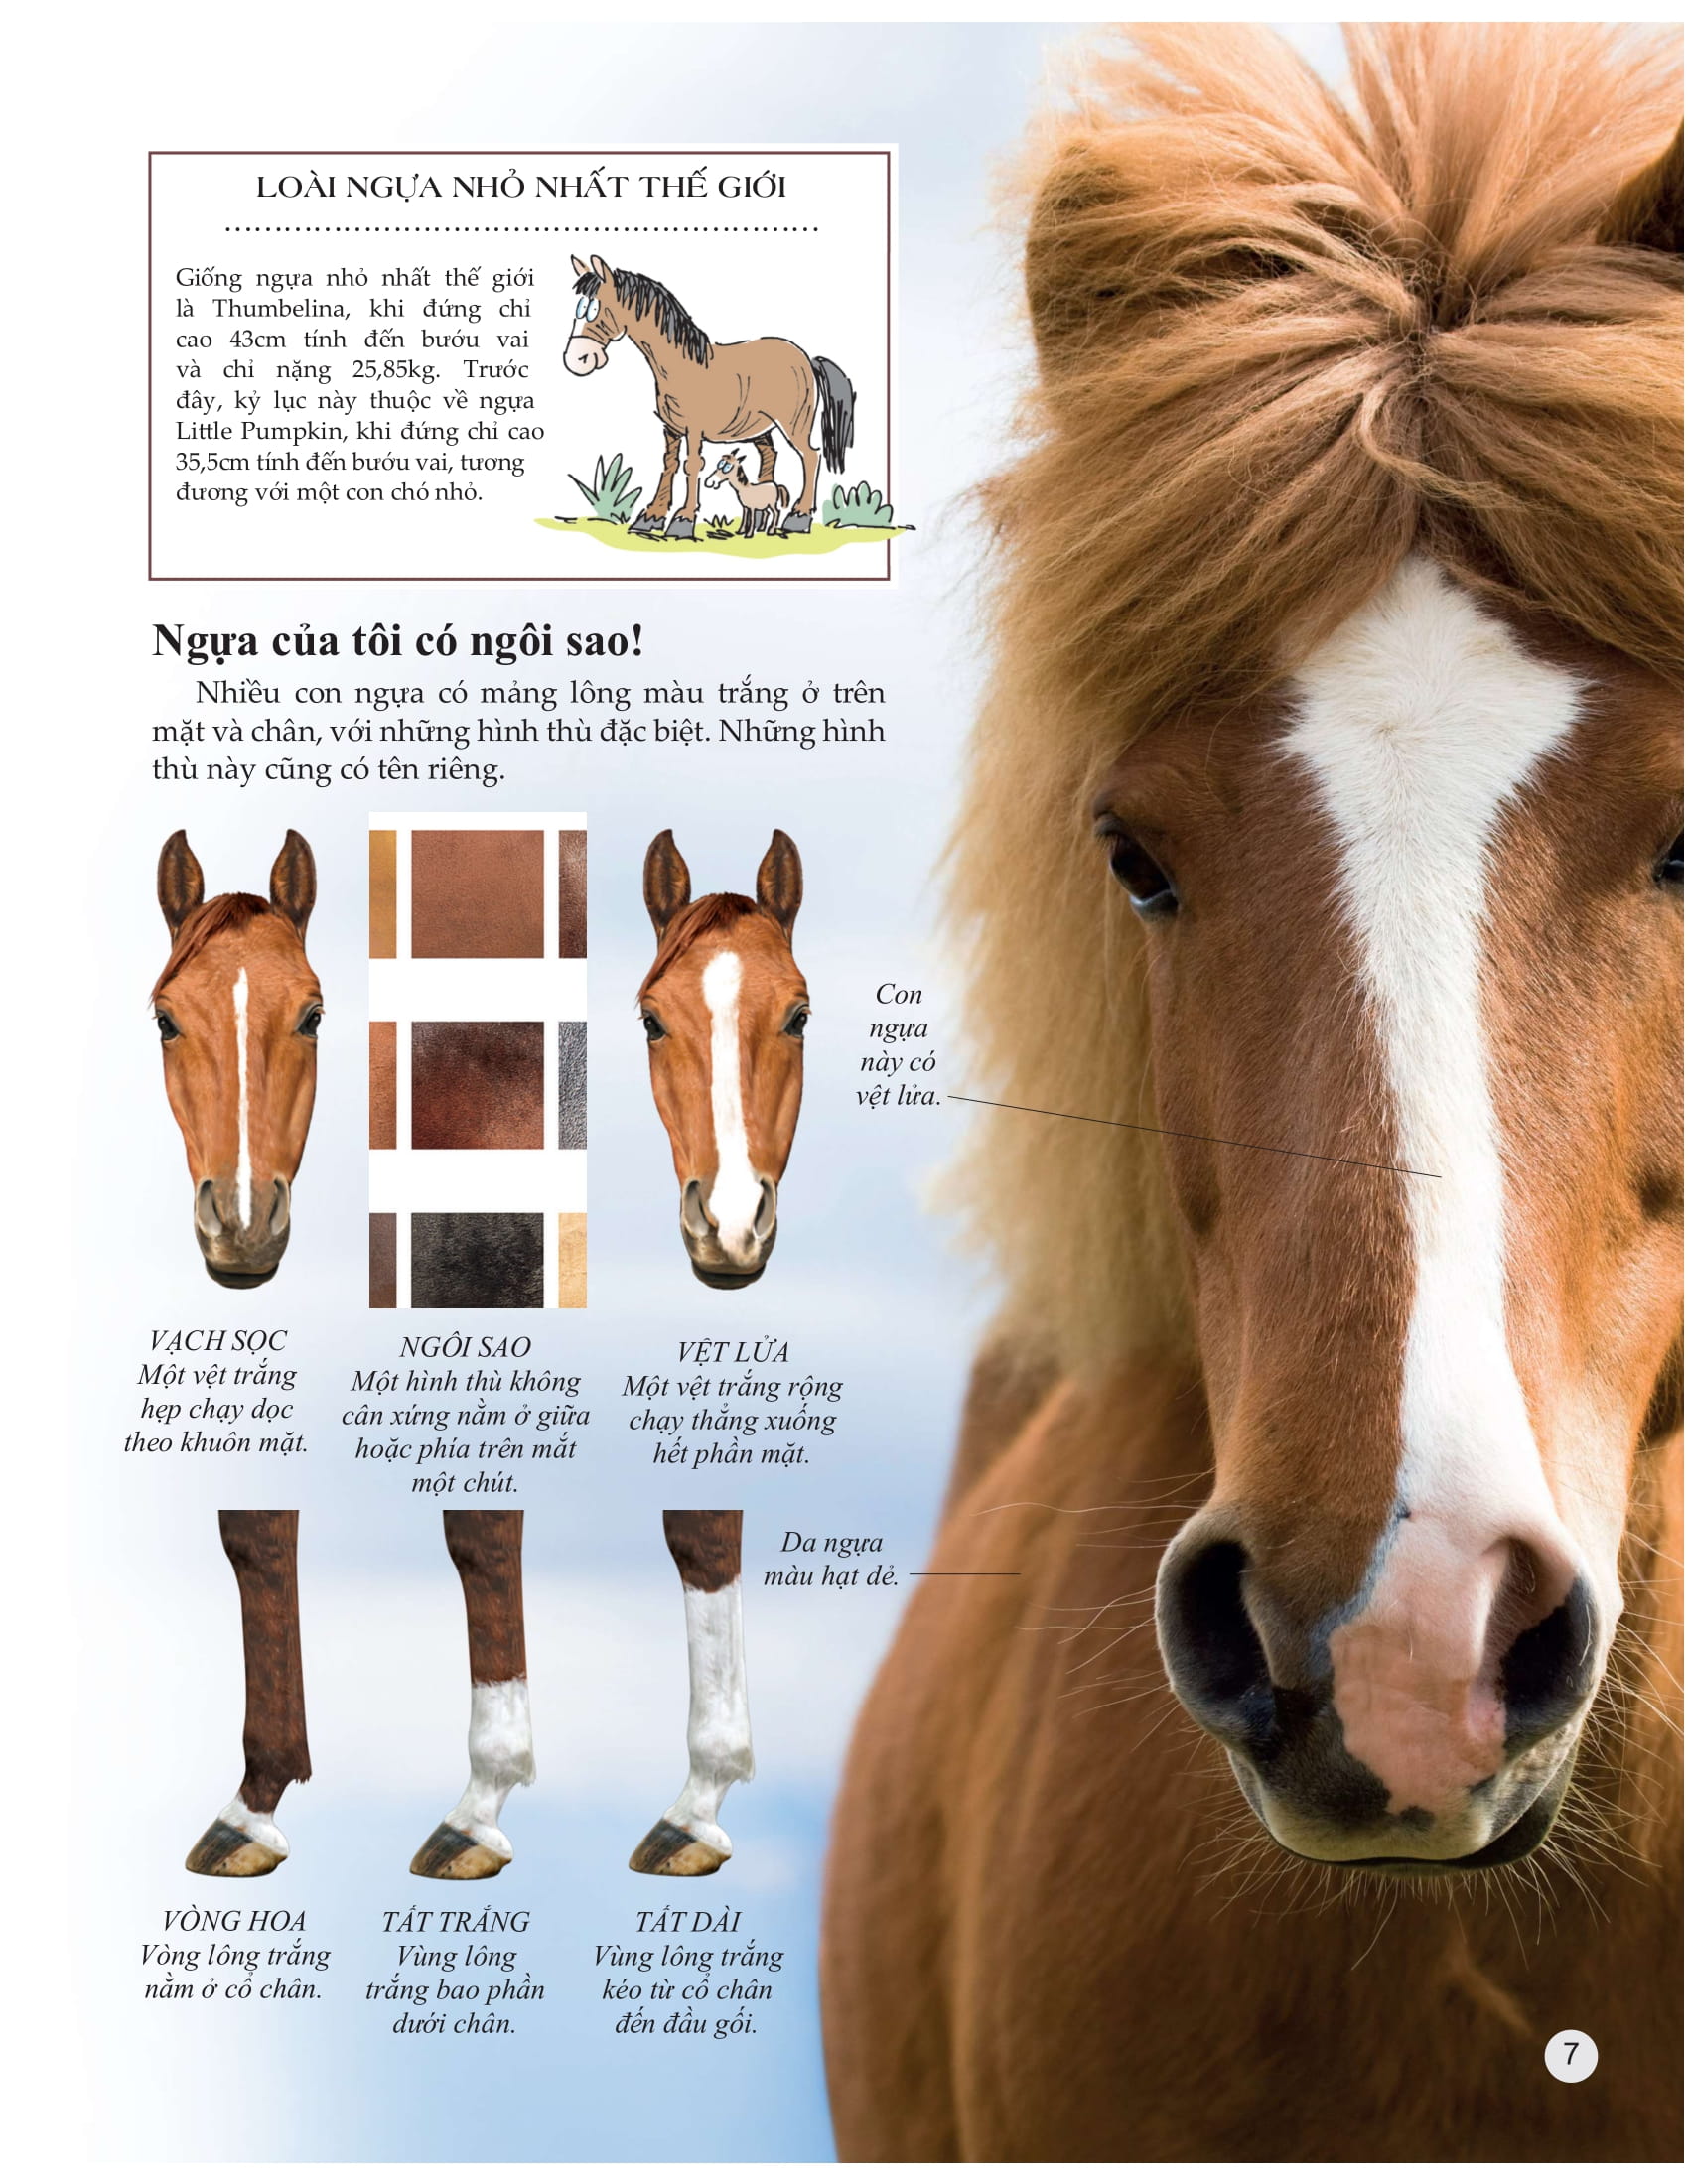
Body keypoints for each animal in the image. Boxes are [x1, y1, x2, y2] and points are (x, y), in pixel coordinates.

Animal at [564, 253, 853, 539]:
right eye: (578, 307)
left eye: (594, 309)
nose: (575, 360)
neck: (680, 365)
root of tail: (806, 358)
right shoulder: (671, 428)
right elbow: (669, 465)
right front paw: (651, 517)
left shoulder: (694, 429)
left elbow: (692, 465)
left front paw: (683, 520)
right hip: (759, 427)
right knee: (770, 455)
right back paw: (761, 521)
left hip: (795, 424)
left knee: (810, 456)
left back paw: (799, 517)